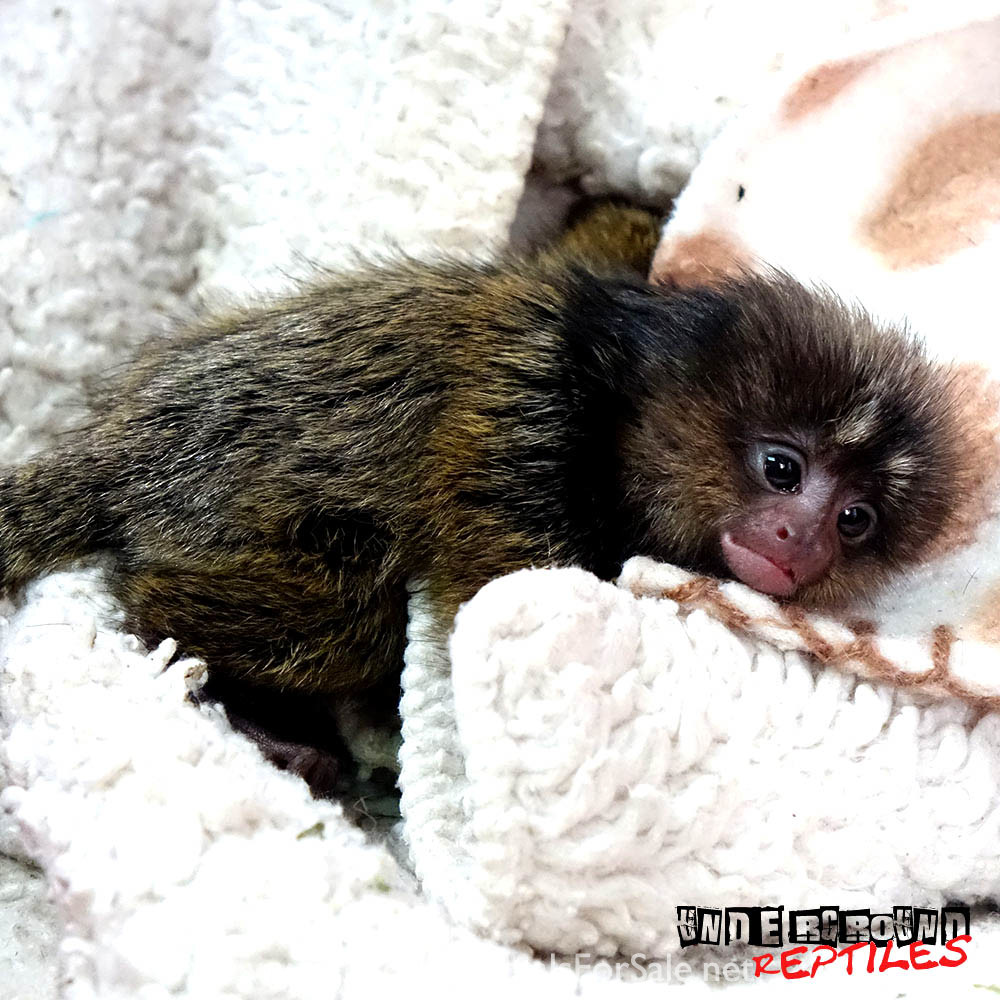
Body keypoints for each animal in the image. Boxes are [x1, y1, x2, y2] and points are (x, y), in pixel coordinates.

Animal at [0, 202, 965, 793]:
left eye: (855, 520)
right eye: (782, 471)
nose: (801, 539)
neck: (618, 415)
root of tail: (118, 448)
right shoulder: (524, 411)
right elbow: (497, 586)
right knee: (331, 602)